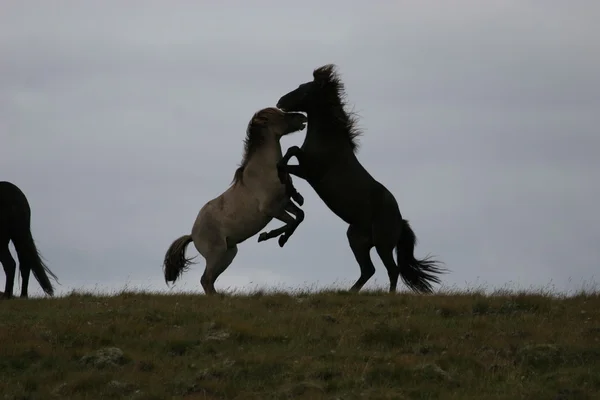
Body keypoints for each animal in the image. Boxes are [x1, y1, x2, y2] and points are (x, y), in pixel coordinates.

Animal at [163, 106, 308, 294]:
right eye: (280, 115)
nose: (303, 117)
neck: (265, 170)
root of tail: (192, 234)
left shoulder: (284, 203)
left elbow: (299, 216)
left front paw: (277, 237)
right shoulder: (271, 209)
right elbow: (291, 222)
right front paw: (270, 237)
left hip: (228, 255)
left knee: (210, 280)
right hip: (217, 254)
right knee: (205, 279)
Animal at [276, 64, 446, 292]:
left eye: (304, 90)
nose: (280, 102)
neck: (328, 139)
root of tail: (401, 221)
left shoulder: (310, 172)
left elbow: (291, 152)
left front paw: (292, 188)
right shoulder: (306, 169)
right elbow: (291, 153)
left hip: (383, 244)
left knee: (392, 270)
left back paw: (387, 295)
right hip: (357, 240)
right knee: (368, 270)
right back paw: (350, 292)